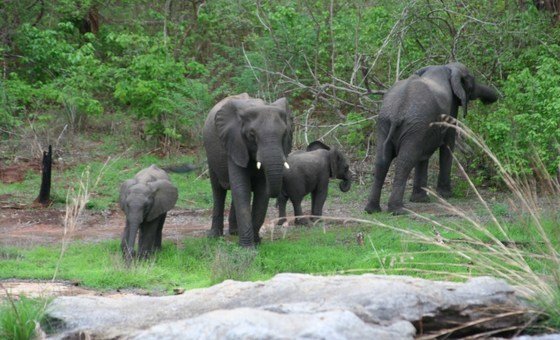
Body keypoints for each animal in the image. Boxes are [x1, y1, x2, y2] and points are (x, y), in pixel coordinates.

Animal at [205, 93, 294, 247]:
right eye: (252, 134)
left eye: (284, 134)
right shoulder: (235, 143)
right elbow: (241, 188)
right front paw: (247, 247)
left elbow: (261, 191)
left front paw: (257, 241)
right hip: (211, 155)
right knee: (218, 190)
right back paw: (214, 236)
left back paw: (235, 232)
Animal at [364, 62, 498, 214]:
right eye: (472, 83)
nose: (495, 98)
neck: (446, 67)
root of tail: (396, 114)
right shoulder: (450, 109)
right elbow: (448, 145)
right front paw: (446, 195)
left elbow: (423, 155)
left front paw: (420, 199)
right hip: (411, 126)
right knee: (405, 161)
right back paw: (398, 210)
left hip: (385, 123)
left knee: (382, 160)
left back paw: (372, 210)